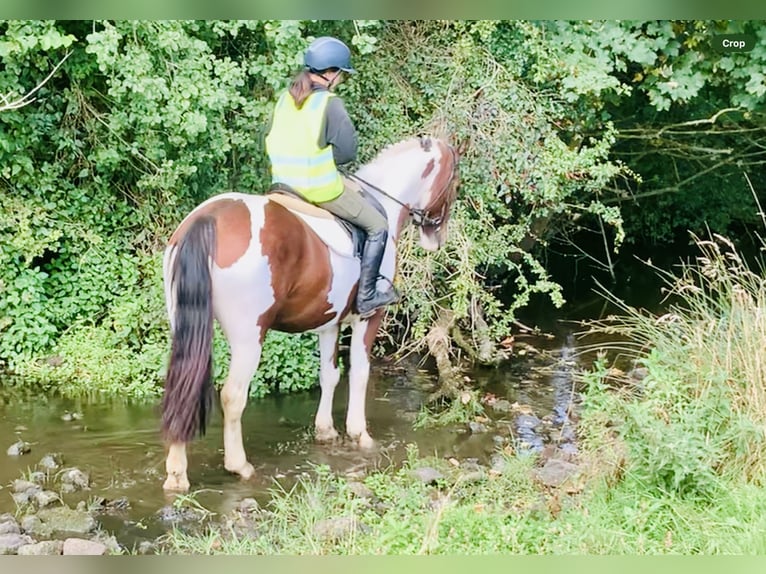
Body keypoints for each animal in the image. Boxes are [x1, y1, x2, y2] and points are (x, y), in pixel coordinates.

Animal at [161, 134, 460, 490]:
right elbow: (359, 372)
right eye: (454, 181)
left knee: (182, 386)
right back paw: (239, 465)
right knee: (233, 395)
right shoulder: (368, 318)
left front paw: (326, 431)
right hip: (249, 336)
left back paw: (177, 473)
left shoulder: (329, 323)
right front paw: (360, 434)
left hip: (185, 327)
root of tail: (209, 219)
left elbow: (329, 375)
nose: (436, 237)